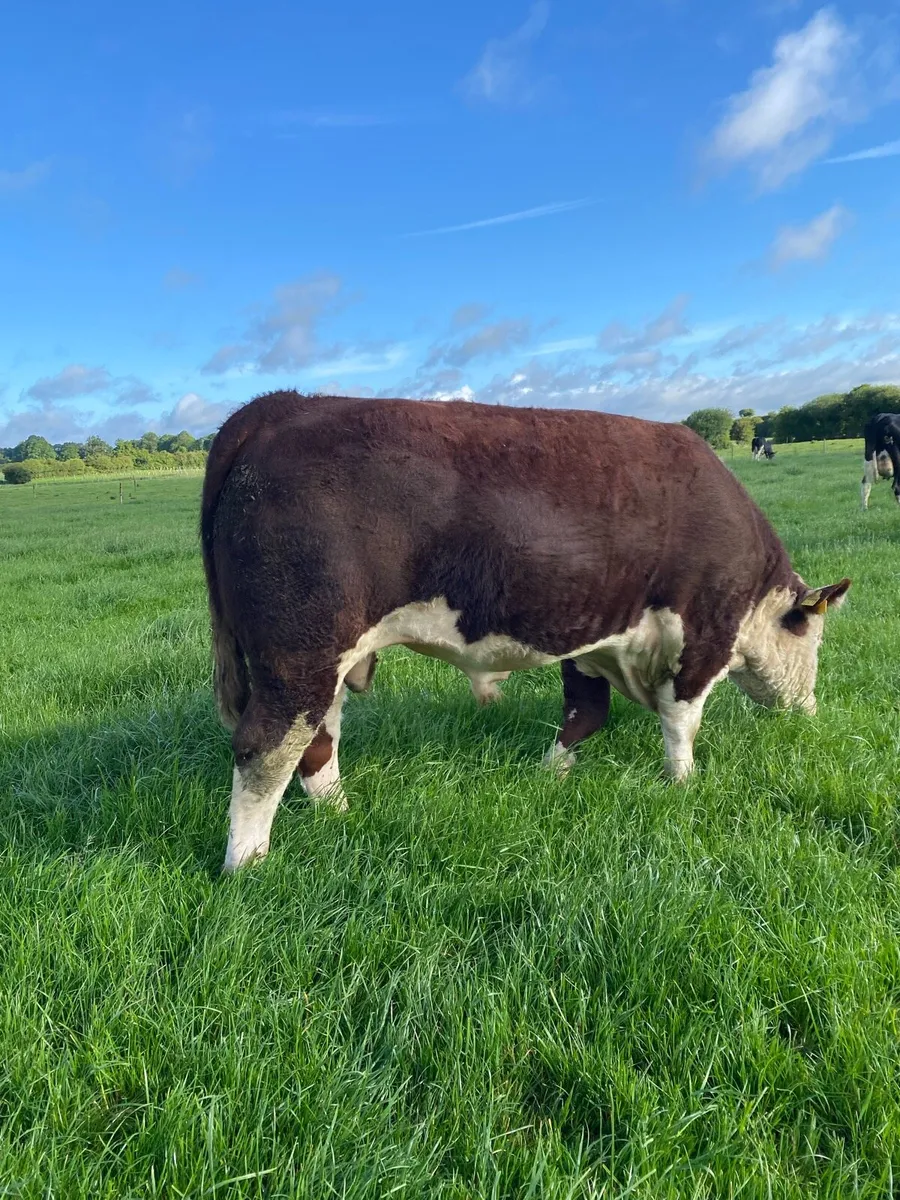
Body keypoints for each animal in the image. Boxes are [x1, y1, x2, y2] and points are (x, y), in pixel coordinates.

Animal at [201, 391, 851, 872]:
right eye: (815, 639)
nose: (811, 711)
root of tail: (274, 406)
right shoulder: (702, 634)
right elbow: (682, 720)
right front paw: (682, 784)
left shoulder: (592, 632)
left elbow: (585, 713)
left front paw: (551, 775)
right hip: (299, 654)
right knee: (266, 746)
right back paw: (248, 862)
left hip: (323, 658)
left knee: (318, 739)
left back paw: (340, 812)